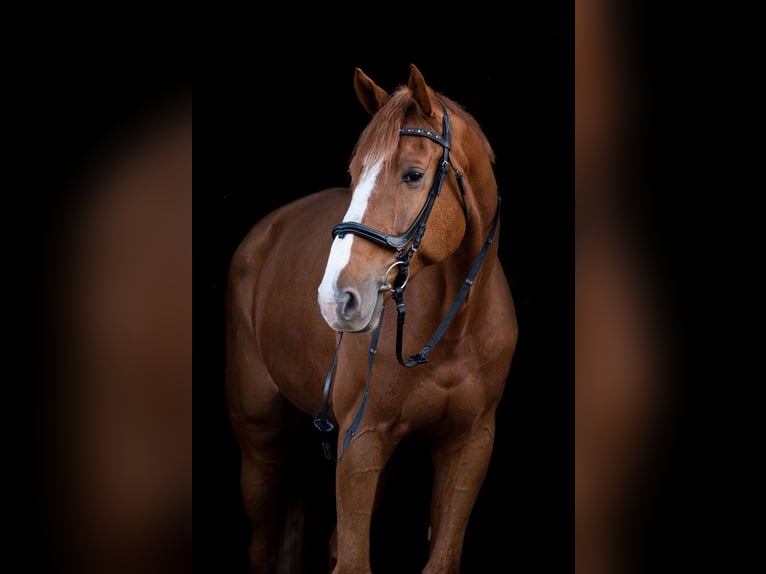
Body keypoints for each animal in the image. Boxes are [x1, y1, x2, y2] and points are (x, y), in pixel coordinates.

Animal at [225, 65, 520, 572]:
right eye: (354, 173)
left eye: (413, 174)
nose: (333, 299)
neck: (453, 331)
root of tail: (265, 232)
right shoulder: (361, 441)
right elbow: (353, 561)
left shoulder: (470, 444)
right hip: (259, 439)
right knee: (262, 542)